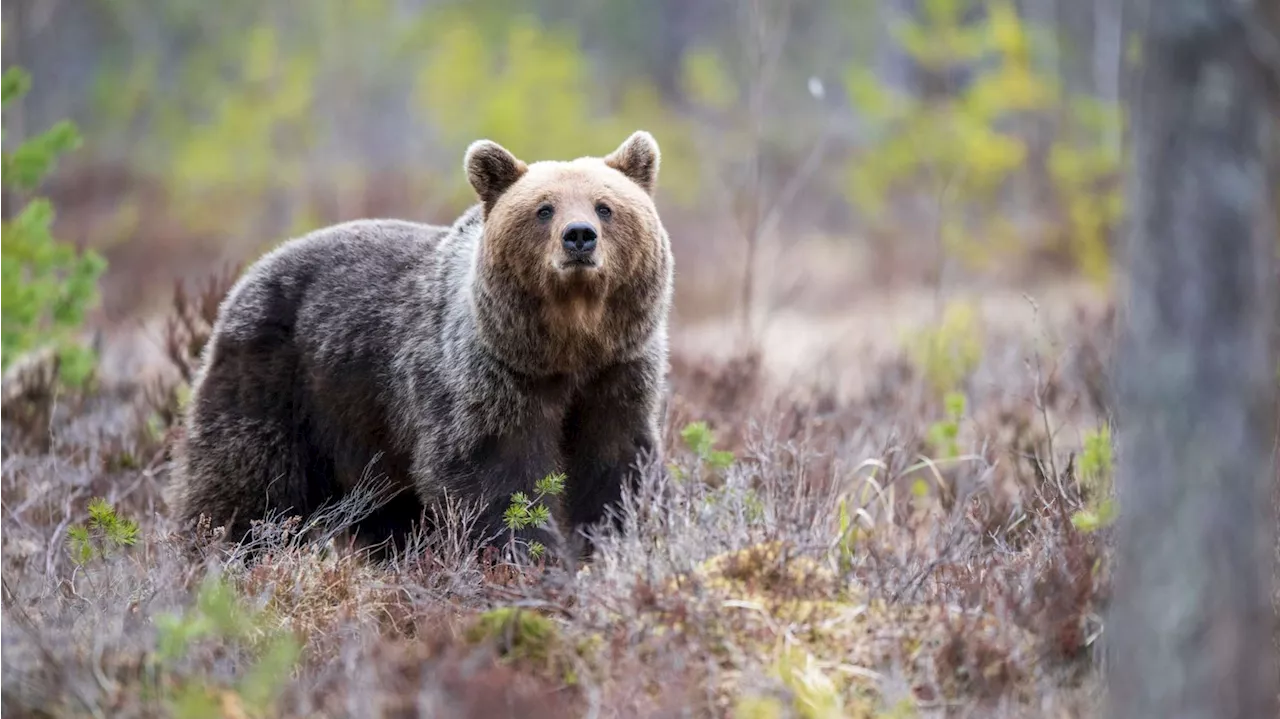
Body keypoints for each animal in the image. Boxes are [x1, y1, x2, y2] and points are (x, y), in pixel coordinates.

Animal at [165, 129, 675, 555]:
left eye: (604, 206)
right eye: (544, 209)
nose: (579, 237)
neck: (568, 347)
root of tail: (251, 273)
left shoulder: (618, 376)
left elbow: (616, 470)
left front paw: (623, 537)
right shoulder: (488, 383)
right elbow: (495, 481)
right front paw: (525, 553)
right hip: (278, 382)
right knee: (248, 486)